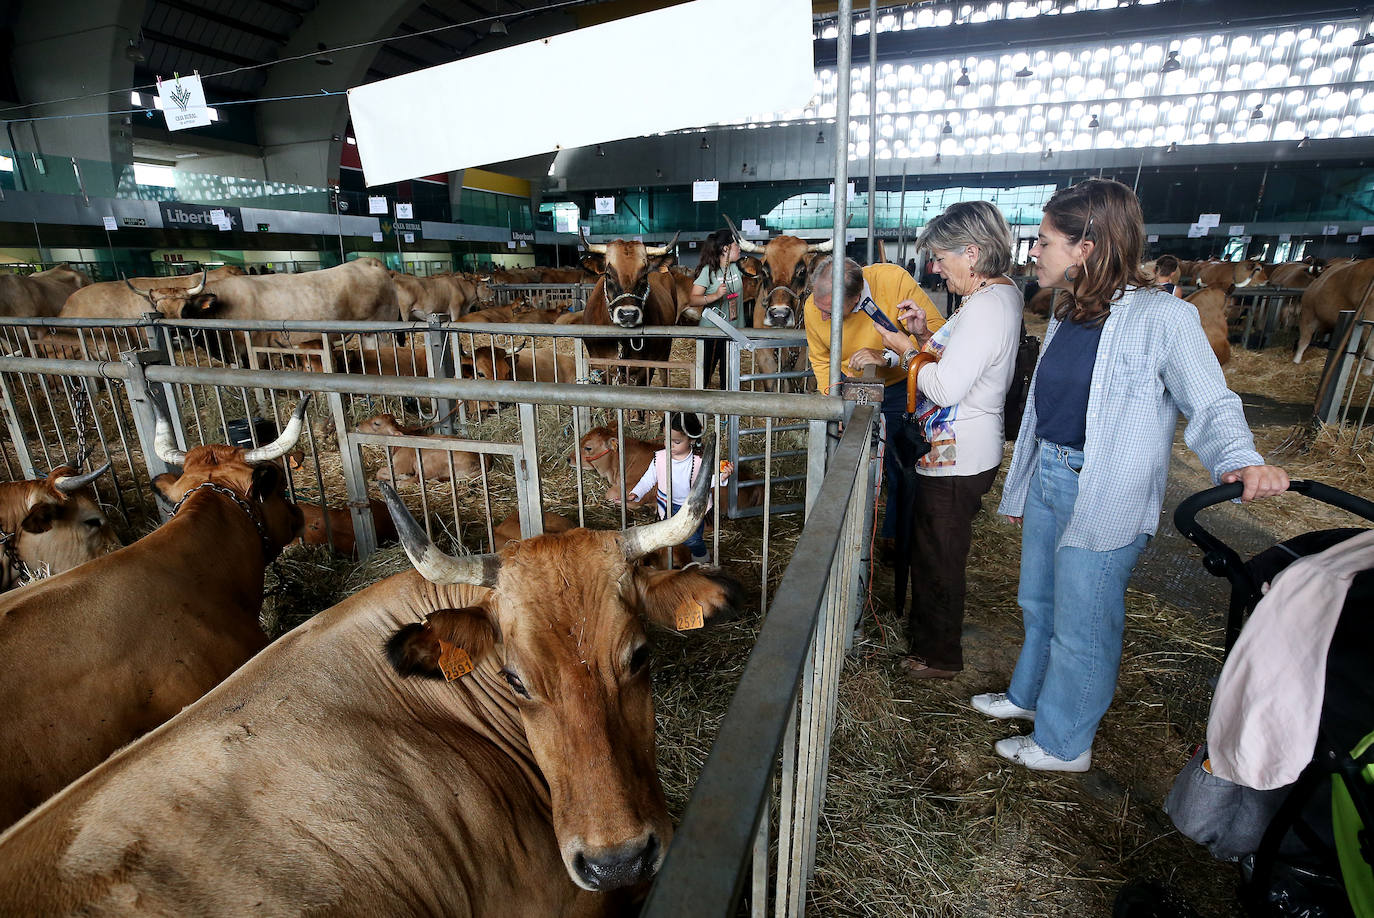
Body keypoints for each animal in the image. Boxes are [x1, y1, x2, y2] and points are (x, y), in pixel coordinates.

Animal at [354, 415, 483, 486]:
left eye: (377, 423)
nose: (357, 424)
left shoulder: (401, 466)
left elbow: (379, 472)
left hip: (428, 464)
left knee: (412, 481)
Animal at [577, 233, 678, 387]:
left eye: (644, 275)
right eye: (608, 274)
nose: (628, 314)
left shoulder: (645, 369)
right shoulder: (598, 367)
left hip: (665, 348)